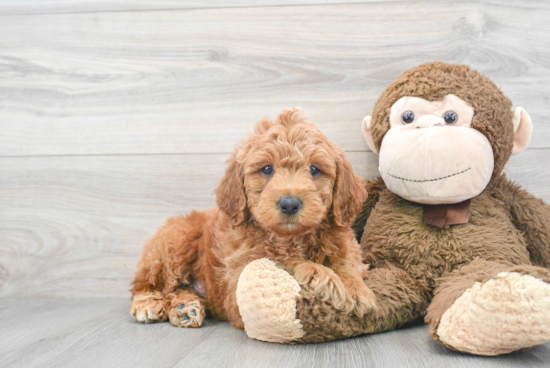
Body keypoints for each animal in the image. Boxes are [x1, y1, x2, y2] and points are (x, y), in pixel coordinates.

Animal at [132, 106, 378, 328]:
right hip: (177, 240)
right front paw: (325, 277)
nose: (289, 204)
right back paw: (149, 304)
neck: (292, 238)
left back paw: (185, 307)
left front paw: (356, 289)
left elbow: (348, 263)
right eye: (267, 169)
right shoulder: (238, 282)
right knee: (147, 283)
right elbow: (284, 259)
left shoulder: (346, 246)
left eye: (315, 170)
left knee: (175, 289)